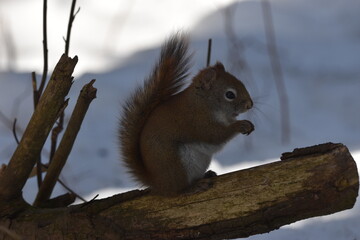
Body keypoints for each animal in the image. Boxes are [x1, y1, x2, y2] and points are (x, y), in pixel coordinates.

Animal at [119, 33, 253, 195]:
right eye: (230, 94)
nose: (250, 105)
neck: (204, 102)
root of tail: (157, 183)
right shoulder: (197, 120)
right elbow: (215, 135)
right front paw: (240, 125)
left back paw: (206, 175)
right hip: (175, 164)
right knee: (178, 190)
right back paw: (194, 187)